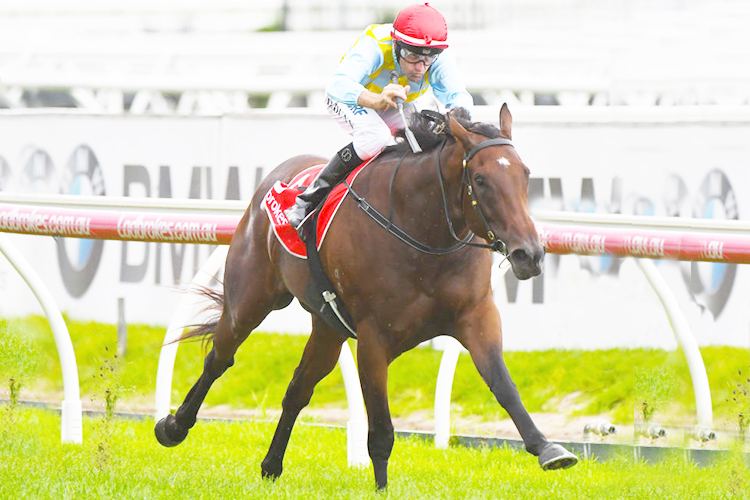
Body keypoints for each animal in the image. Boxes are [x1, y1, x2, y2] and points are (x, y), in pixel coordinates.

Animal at [156, 103, 580, 490]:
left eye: (525, 175)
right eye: (480, 178)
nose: (529, 254)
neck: (424, 232)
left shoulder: (477, 317)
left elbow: (503, 385)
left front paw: (549, 449)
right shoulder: (374, 339)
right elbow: (382, 429)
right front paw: (381, 488)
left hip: (327, 328)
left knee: (297, 389)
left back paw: (271, 466)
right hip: (251, 299)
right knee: (220, 357)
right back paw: (172, 426)